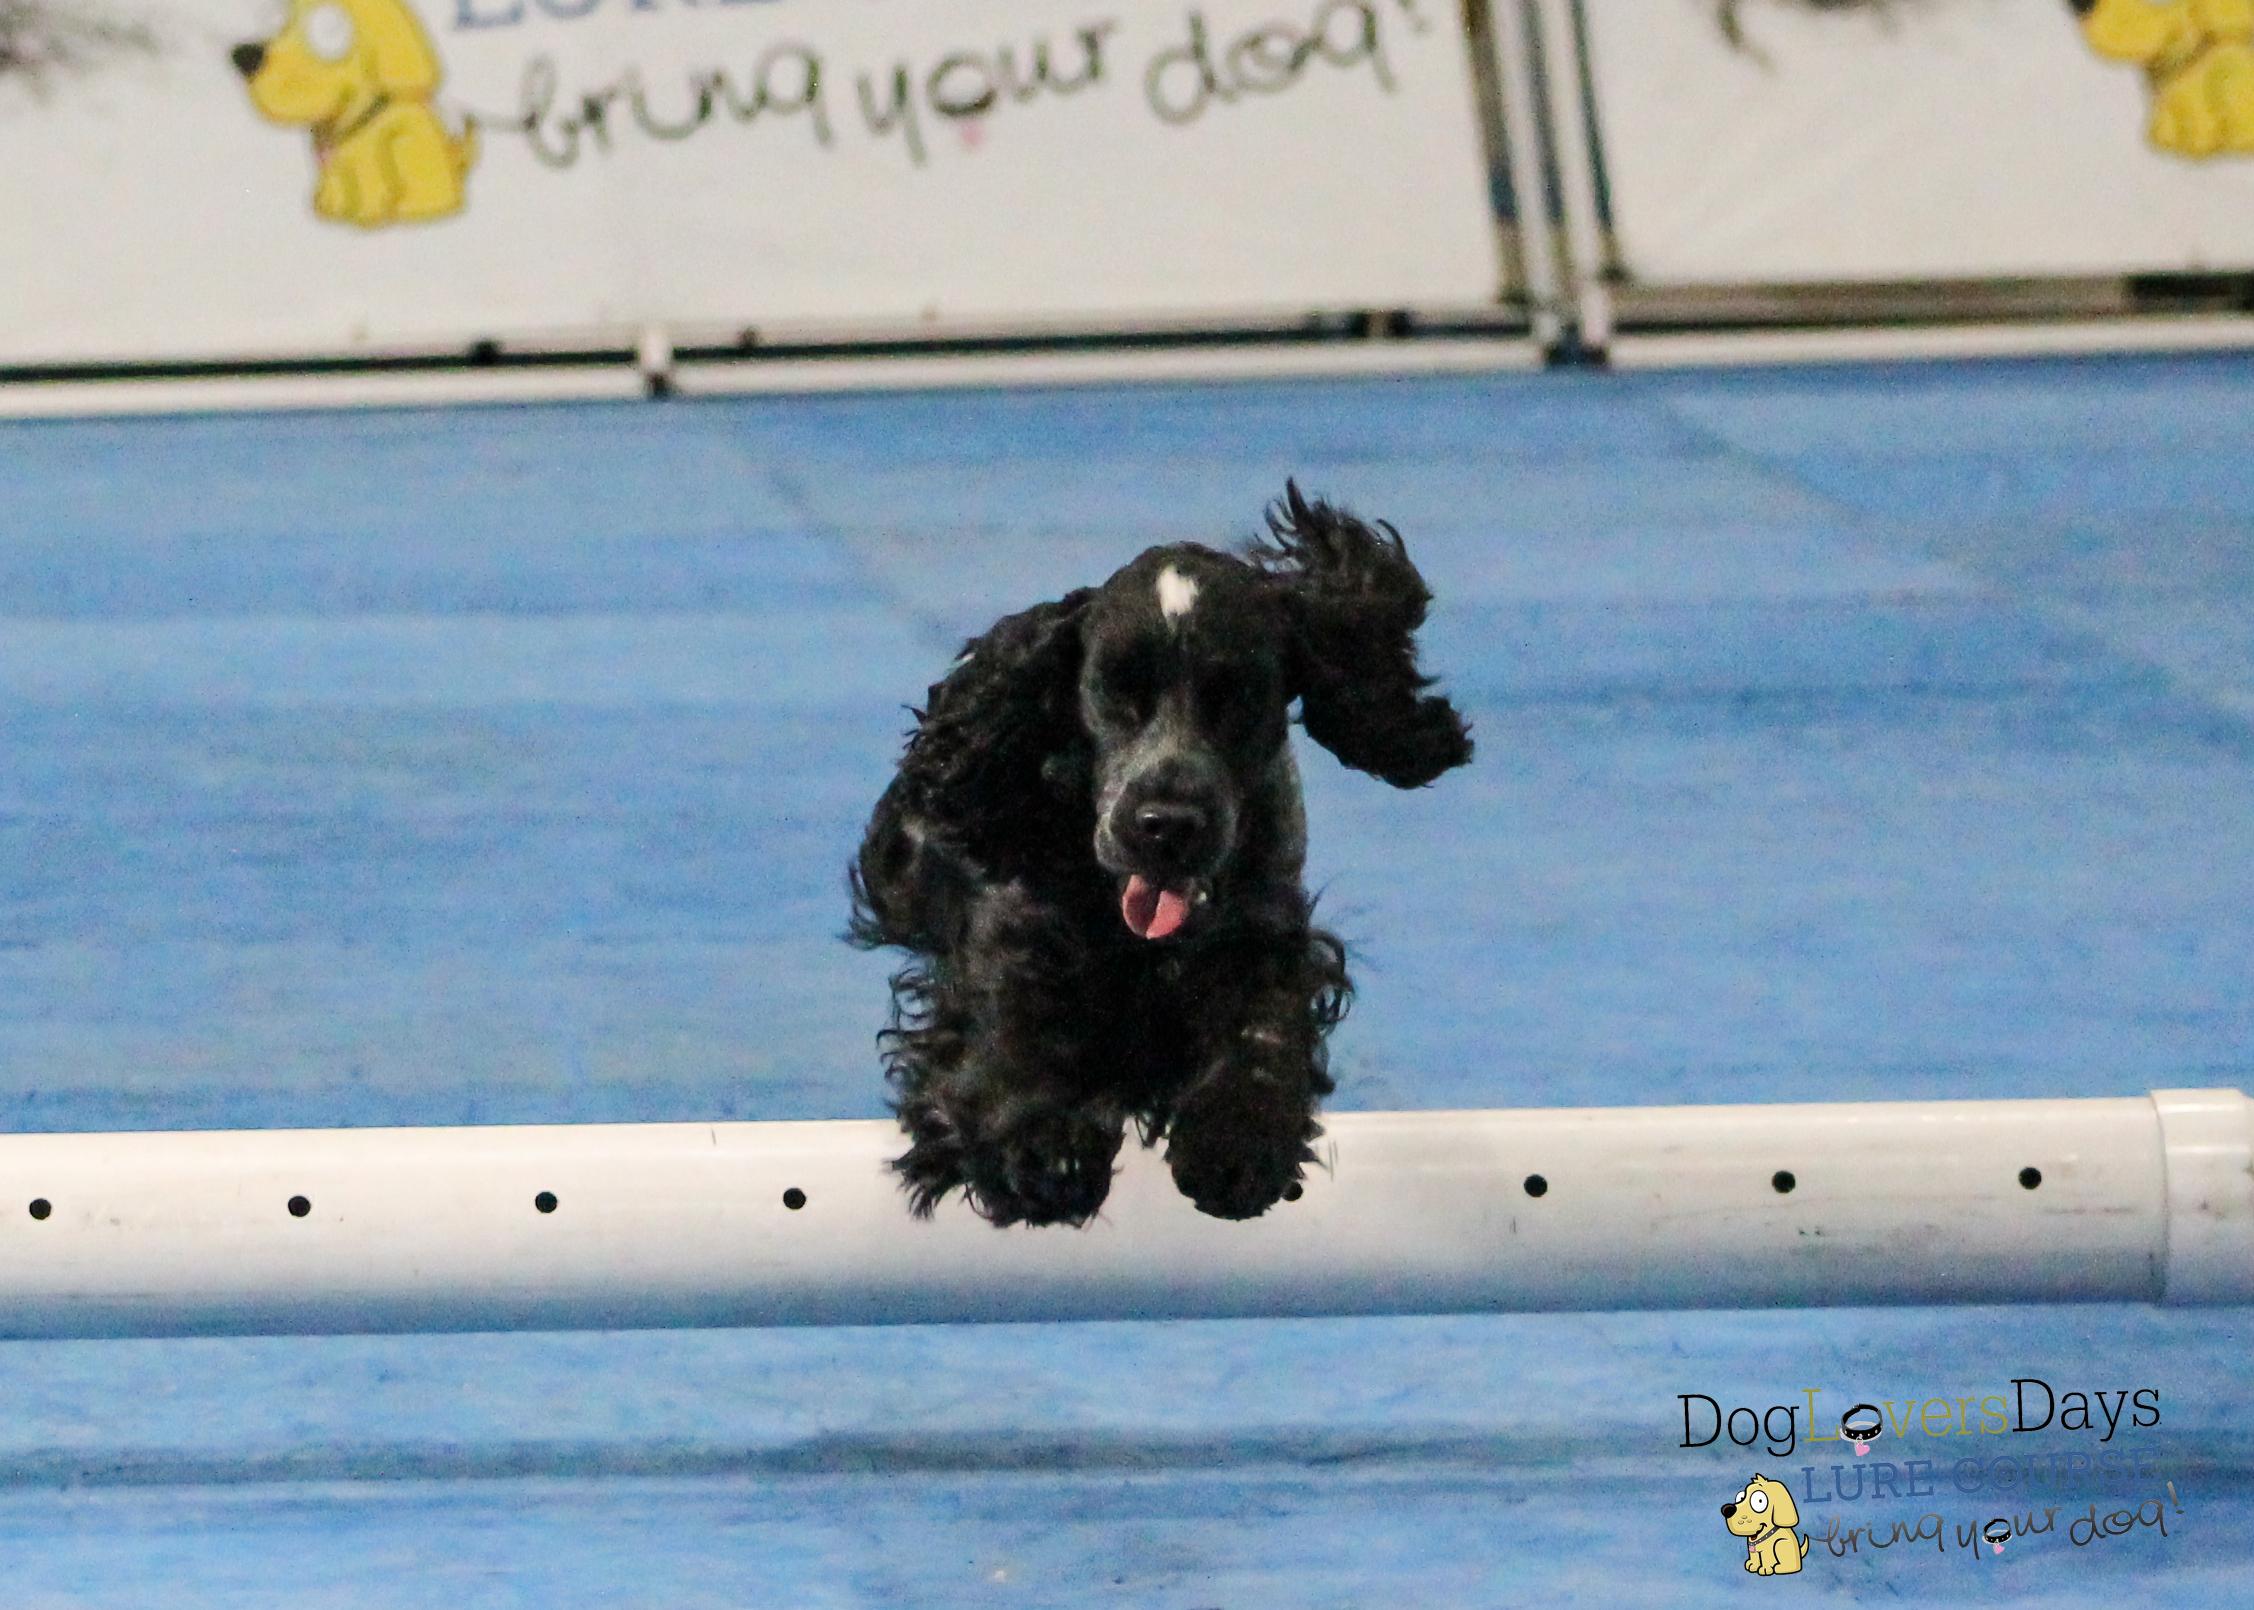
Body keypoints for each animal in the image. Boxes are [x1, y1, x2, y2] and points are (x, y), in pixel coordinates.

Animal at [231, 0, 477, 227]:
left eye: (327, 30)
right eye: (281, 23)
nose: (244, 56)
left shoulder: (372, 160)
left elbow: (372, 183)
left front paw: (365, 215)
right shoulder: (336, 168)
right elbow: (336, 186)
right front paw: (329, 208)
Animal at [849, 485, 1473, 1228]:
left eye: (1238, 696)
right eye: (1114, 691)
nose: (1165, 825)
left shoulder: (1267, 930)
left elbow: (1265, 1023)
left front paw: (1238, 1144)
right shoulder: (1013, 932)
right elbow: (1009, 1024)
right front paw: (1040, 1150)